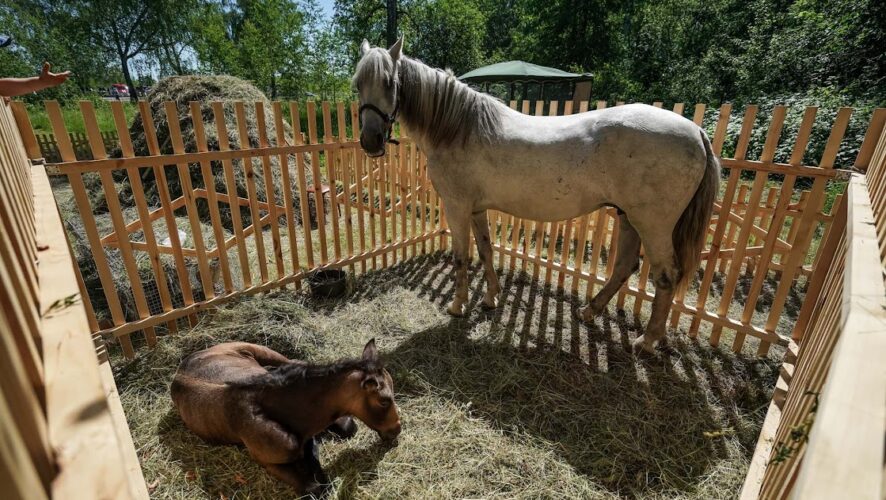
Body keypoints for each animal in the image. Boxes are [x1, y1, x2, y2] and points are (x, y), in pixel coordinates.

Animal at [171, 338, 406, 494]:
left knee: (293, 362)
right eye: (384, 400)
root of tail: (180, 368)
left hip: (258, 350)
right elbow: (314, 486)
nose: (396, 429)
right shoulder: (268, 463)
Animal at [350, 39, 720, 354]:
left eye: (389, 82)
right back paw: (589, 312)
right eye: (357, 85)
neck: (458, 128)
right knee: (624, 266)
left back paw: (647, 340)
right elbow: (485, 250)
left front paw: (457, 307)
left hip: (652, 225)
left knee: (665, 276)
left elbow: (461, 258)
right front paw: (490, 299)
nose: (370, 140)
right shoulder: (477, 209)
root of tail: (697, 132)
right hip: (627, 217)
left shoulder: (457, 207)